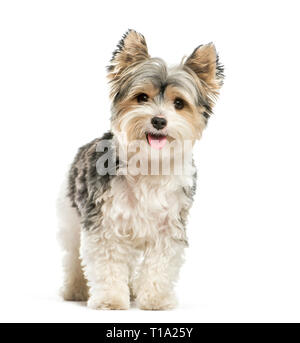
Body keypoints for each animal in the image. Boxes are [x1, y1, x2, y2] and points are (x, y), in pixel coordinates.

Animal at [57, 29, 224, 310]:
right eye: (142, 98)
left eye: (179, 103)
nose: (158, 120)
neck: (149, 164)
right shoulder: (104, 224)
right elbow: (108, 265)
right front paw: (111, 299)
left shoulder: (169, 227)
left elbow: (159, 266)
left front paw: (155, 299)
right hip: (70, 215)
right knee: (72, 258)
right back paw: (75, 289)